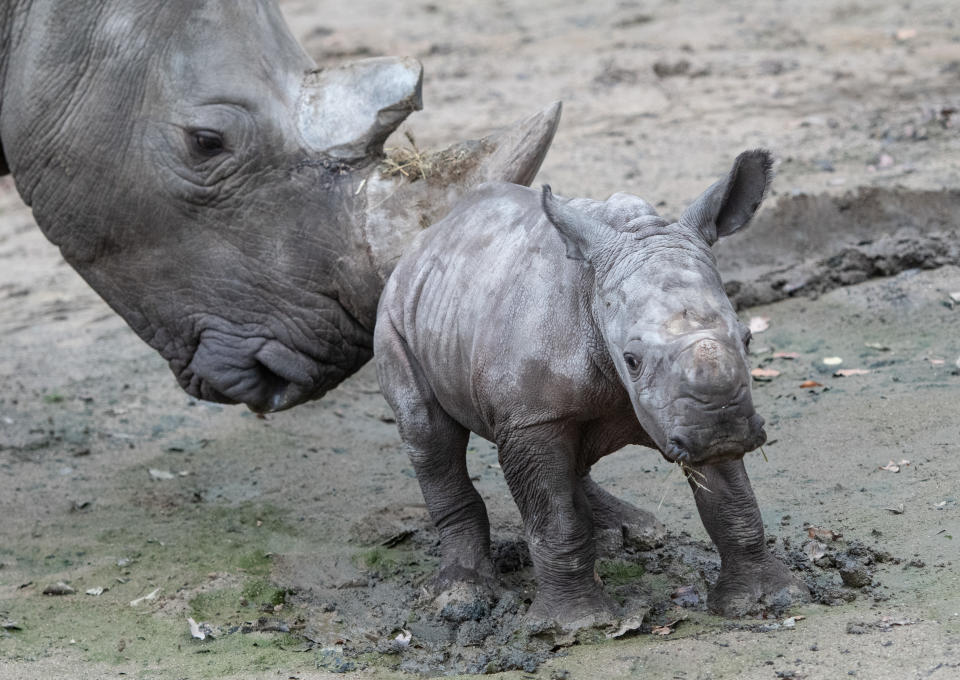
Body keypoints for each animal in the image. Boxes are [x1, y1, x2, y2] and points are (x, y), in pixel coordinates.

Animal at [376, 151, 808, 628]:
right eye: (632, 360)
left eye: (748, 339)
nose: (723, 432)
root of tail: (428, 238)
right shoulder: (531, 418)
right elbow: (555, 519)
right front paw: (579, 624)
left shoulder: (696, 404)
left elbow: (733, 501)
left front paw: (769, 598)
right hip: (394, 313)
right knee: (428, 434)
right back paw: (459, 596)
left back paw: (633, 532)